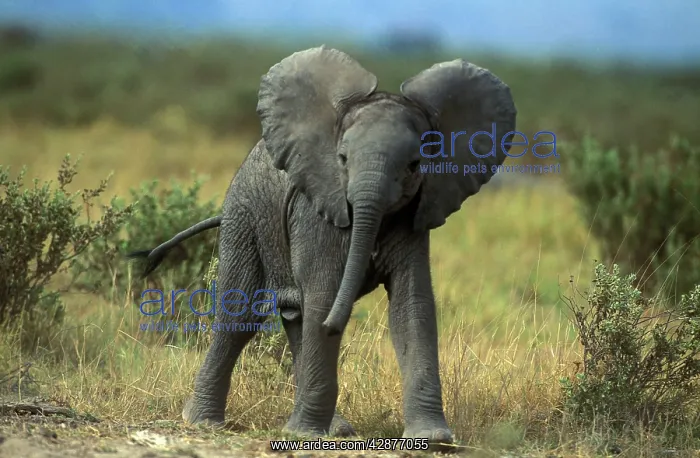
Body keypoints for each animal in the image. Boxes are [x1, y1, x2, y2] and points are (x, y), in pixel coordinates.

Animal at [128, 45, 517, 444]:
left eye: (414, 165)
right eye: (341, 160)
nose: (336, 324)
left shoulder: (416, 214)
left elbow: (411, 306)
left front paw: (434, 440)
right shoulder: (317, 210)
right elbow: (323, 292)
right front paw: (302, 436)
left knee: (295, 317)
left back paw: (334, 428)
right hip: (244, 215)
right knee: (242, 315)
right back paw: (203, 422)